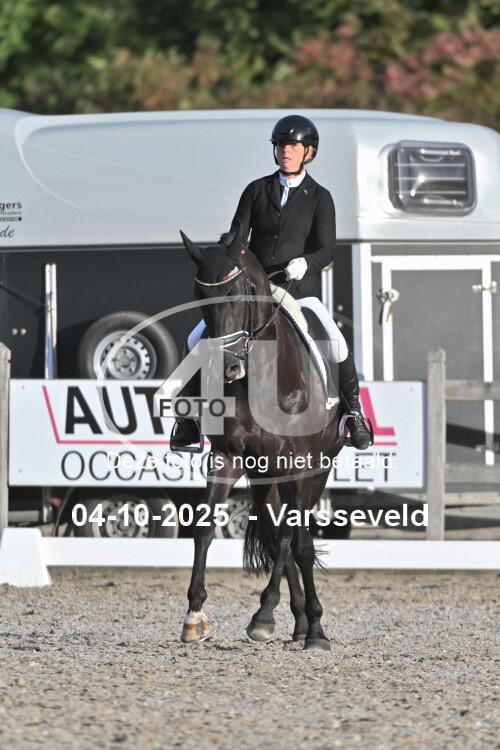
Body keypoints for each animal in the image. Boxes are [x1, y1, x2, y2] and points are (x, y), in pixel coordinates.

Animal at [178, 229, 344, 651]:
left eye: (240, 292)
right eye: (199, 295)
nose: (227, 367)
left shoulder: (295, 465)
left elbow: (291, 539)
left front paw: (264, 616)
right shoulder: (228, 457)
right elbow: (204, 527)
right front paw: (194, 615)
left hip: (315, 470)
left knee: (298, 540)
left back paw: (313, 628)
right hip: (263, 477)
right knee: (281, 535)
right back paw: (301, 622)